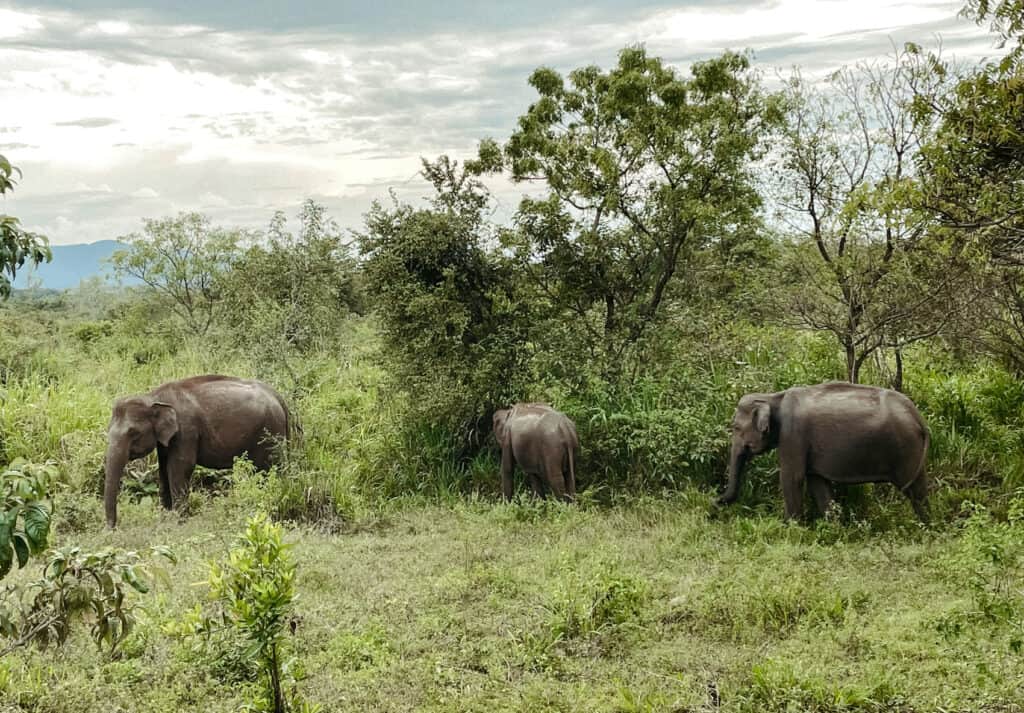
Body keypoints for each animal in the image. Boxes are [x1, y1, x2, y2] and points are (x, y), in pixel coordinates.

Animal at [104, 375, 291, 528]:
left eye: (133, 433)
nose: (111, 529)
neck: (153, 397)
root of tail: (278, 396)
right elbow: (163, 470)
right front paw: (165, 520)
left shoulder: (186, 431)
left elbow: (180, 468)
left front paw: (178, 523)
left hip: (270, 432)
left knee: (270, 468)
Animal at [716, 381, 930, 521]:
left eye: (735, 427)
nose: (715, 502)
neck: (773, 397)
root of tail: (918, 416)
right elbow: (817, 483)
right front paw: (833, 527)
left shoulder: (793, 434)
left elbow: (791, 478)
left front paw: (790, 529)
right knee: (919, 488)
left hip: (906, 447)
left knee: (915, 491)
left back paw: (924, 528)